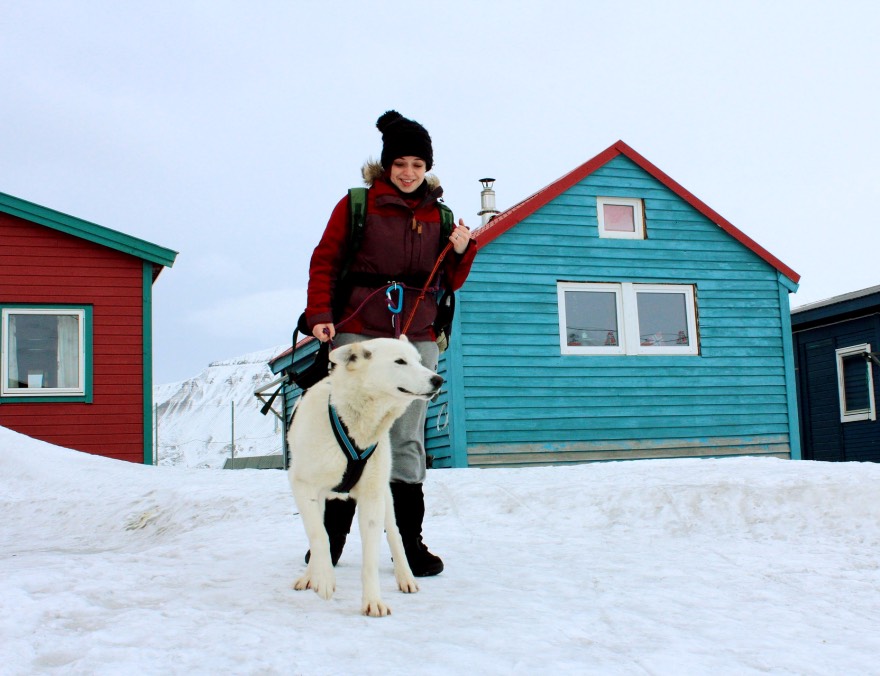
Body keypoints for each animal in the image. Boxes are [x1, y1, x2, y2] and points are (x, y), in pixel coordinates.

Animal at [288, 336, 444, 616]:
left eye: (419, 360)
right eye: (400, 361)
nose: (438, 380)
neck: (354, 424)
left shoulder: (371, 497)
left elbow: (370, 557)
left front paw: (373, 601)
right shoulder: (302, 486)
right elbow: (319, 535)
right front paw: (323, 578)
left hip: (385, 496)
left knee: (395, 534)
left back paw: (406, 576)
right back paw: (311, 575)